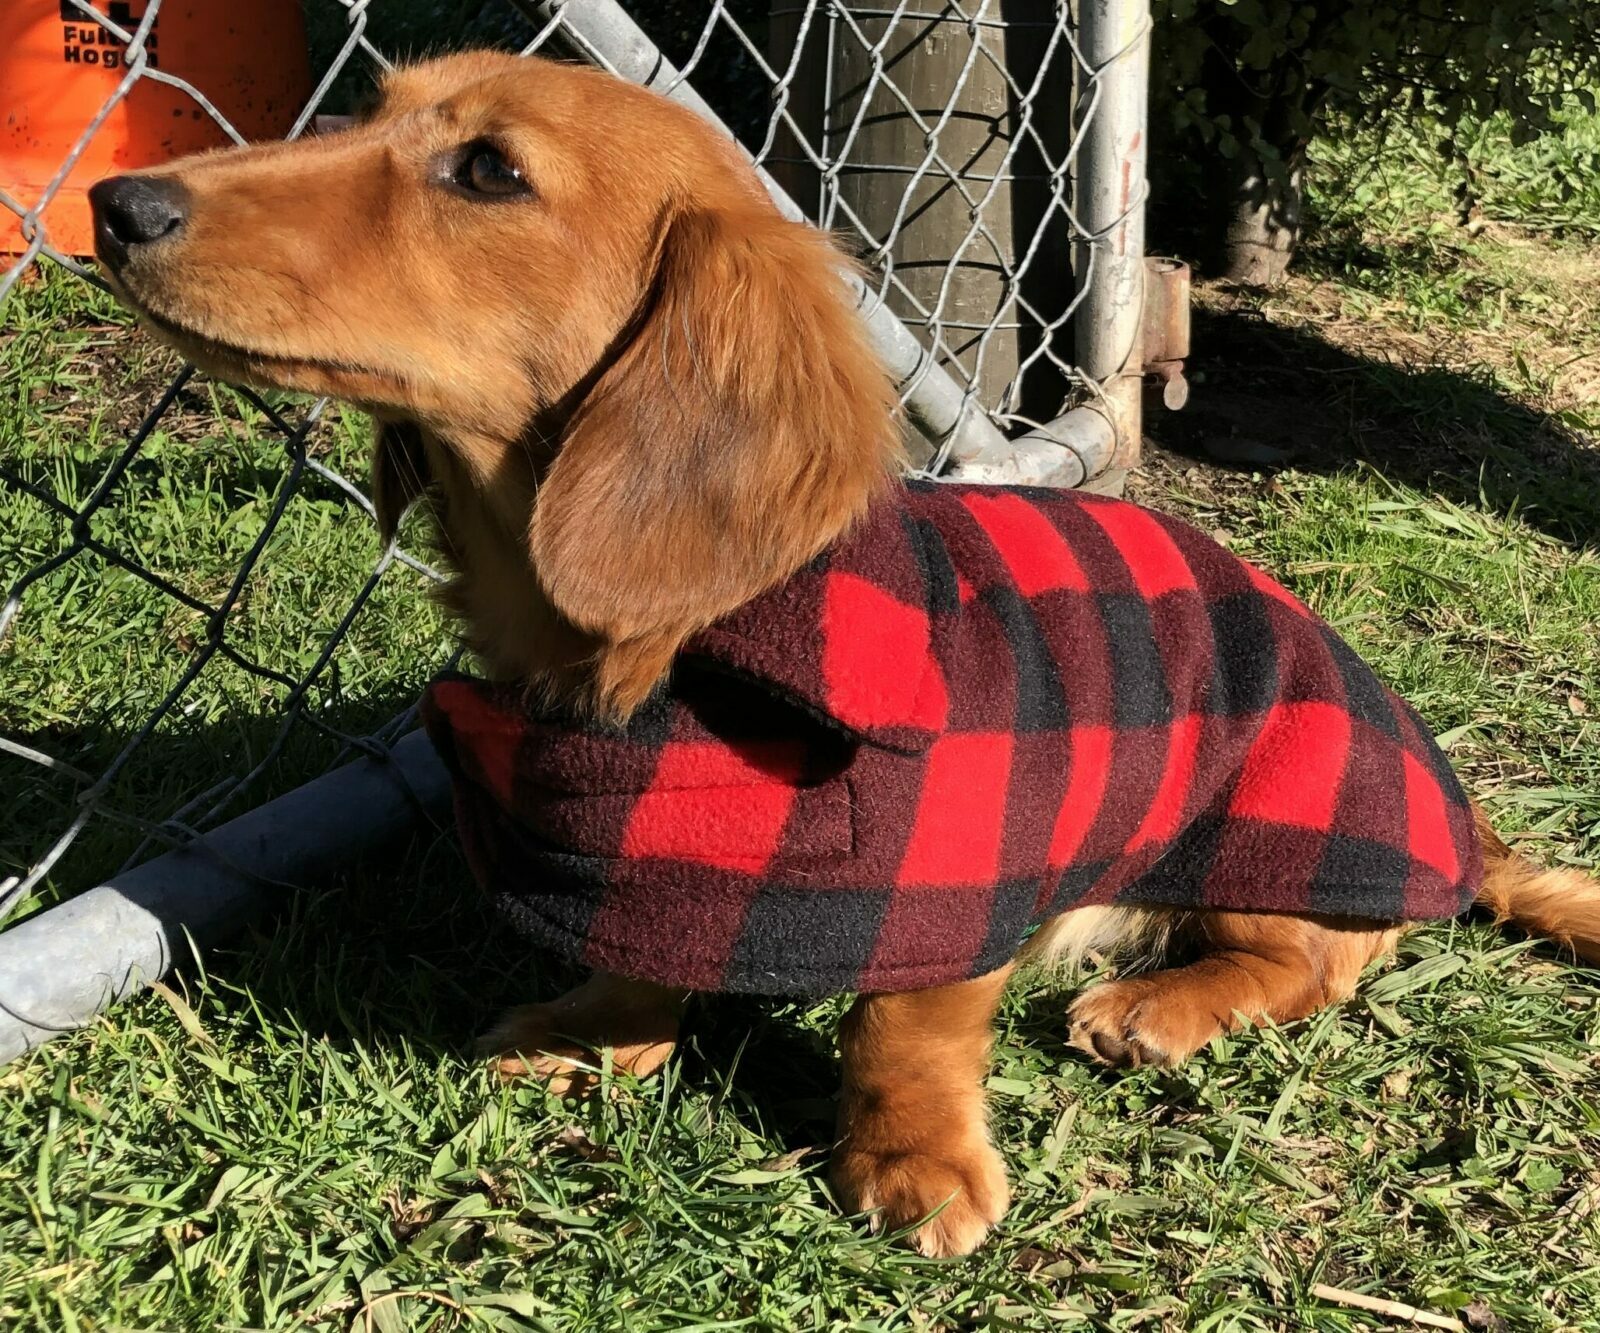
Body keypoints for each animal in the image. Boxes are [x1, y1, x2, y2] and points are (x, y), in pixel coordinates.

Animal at [93, 54, 1600, 1260]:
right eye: (370, 108)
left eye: (487, 171)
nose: (117, 206)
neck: (670, 666)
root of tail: (1463, 821)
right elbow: (644, 956)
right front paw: (591, 1033)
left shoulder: (961, 863)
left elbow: (903, 1030)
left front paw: (909, 1161)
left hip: (1263, 835)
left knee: (1319, 962)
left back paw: (1157, 1007)